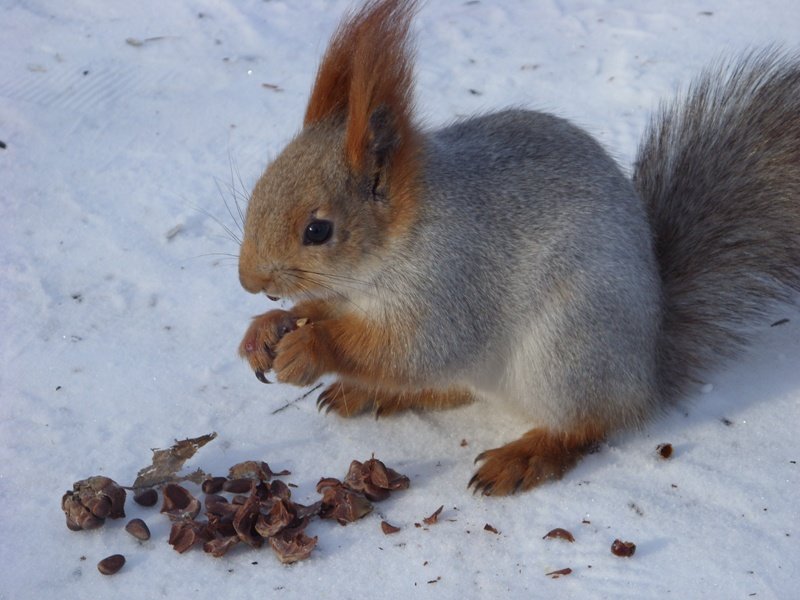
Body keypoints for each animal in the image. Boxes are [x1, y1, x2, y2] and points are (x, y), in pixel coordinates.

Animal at [237, 0, 800, 495]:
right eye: (262, 182)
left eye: (318, 231)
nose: (249, 281)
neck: (388, 254)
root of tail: (646, 373)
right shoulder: (348, 295)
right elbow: (324, 313)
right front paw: (266, 330)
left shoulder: (451, 281)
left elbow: (415, 347)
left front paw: (310, 348)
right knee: (453, 386)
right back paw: (370, 391)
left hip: (568, 349)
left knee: (587, 424)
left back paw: (526, 455)